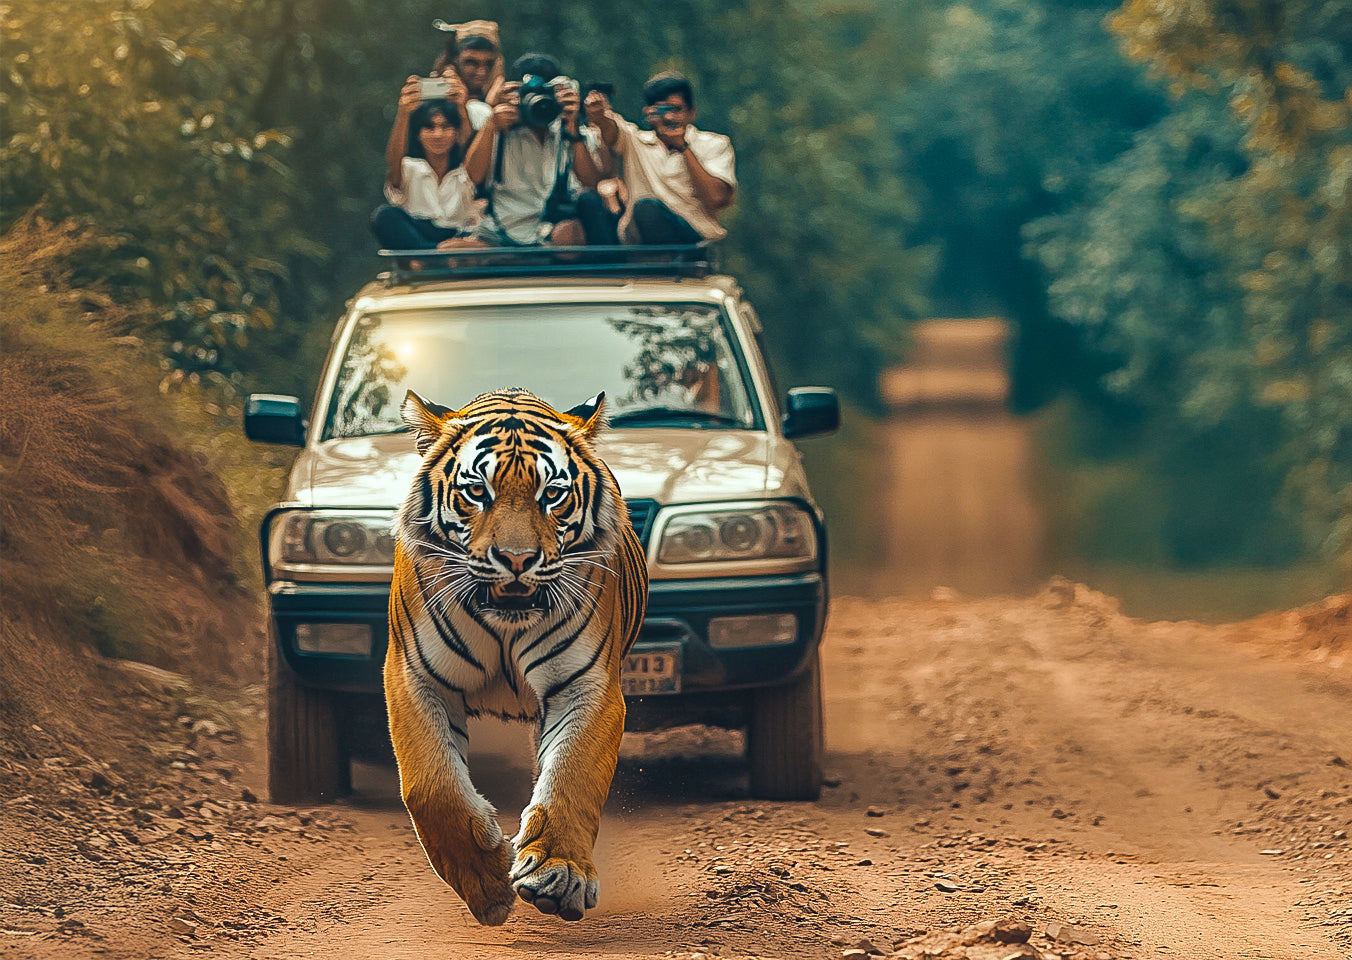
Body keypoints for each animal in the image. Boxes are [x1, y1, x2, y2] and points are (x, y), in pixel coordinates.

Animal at [384, 386, 648, 926]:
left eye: (552, 494)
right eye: (476, 492)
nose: (518, 559)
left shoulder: (585, 685)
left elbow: (573, 773)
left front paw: (558, 873)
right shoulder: (414, 676)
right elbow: (431, 784)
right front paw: (487, 883)